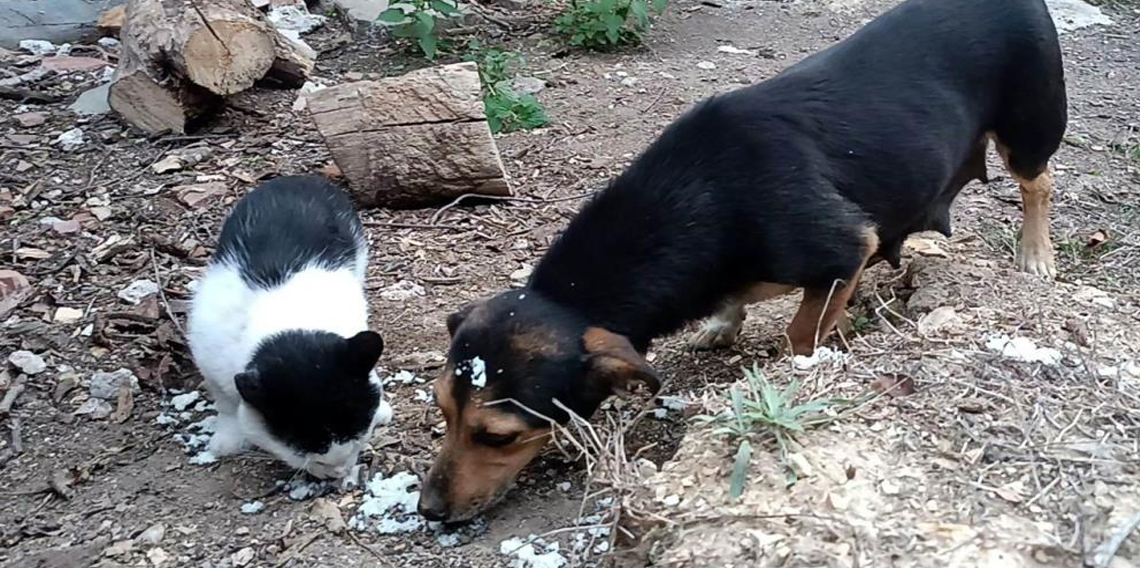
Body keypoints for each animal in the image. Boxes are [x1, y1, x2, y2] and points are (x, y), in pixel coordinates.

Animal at [186, 175, 392, 476]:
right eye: (307, 450)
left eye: (357, 436)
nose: (339, 470)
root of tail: (297, 178)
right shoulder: (208, 358)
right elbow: (226, 404)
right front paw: (227, 440)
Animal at [417, 0, 1067, 524]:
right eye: (443, 411)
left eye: (497, 438)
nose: (428, 512)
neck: (694, 197)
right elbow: (740, 300)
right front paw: (723, 324)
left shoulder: (843, 247)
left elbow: (801, 332)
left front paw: (803, 361)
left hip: (1030, 125)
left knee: (1039, 183)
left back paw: (1036, 255)